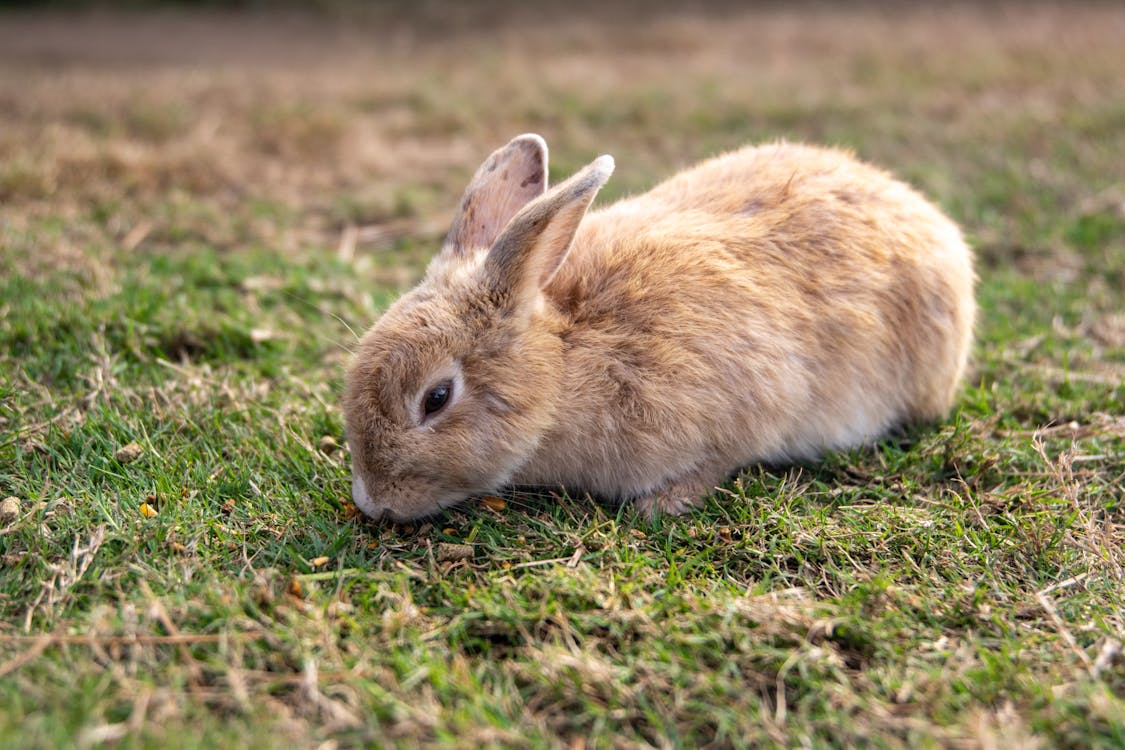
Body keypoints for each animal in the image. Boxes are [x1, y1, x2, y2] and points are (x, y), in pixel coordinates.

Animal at [343, 134, 974, 521]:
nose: (373, 501)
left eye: (437, 398)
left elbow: (721, 459)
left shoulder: (743, 410)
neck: (565, 362)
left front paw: (660, 506)